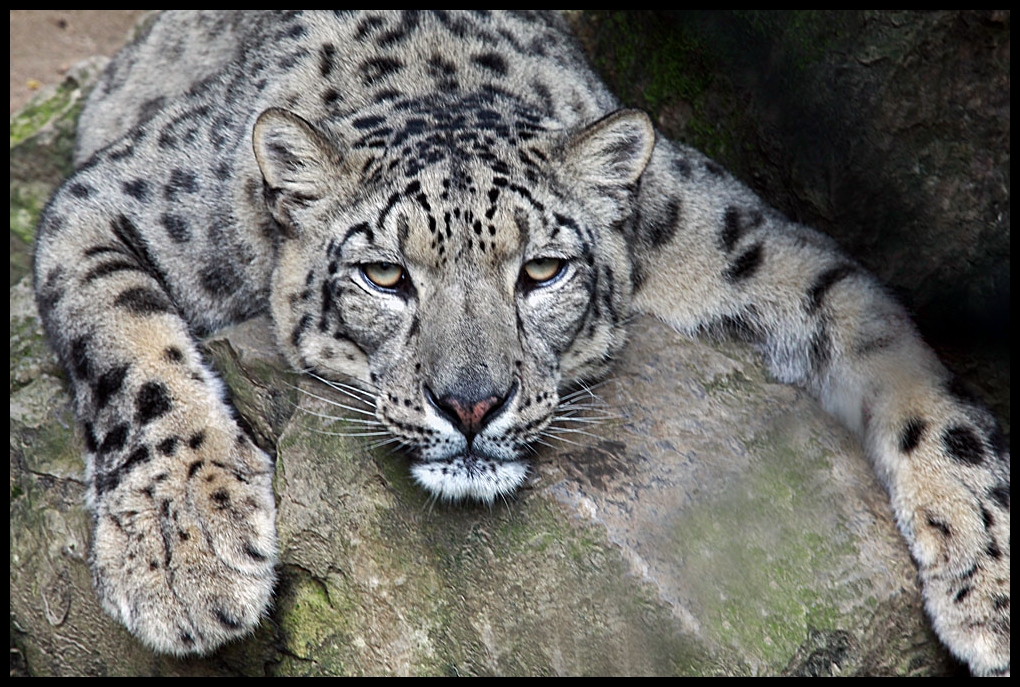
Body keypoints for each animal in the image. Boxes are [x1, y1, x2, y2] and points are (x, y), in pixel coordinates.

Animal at [29, 9, 1003, 672]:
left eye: (542, 270)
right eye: (384, 275)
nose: (471, 404)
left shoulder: (747, 242)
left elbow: (902, 363)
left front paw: (991, 590)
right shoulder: (116, 197)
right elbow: (129, 341)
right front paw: (182, 550)